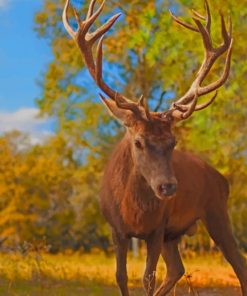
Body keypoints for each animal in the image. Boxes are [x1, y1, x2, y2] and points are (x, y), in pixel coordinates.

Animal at [62, 0, 247, 294]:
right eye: (138, 141)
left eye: (173, 142)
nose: (168, 187)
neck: (134, 213)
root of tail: (222, 178)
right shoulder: (116, 229)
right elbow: (121, 276)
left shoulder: (157, 228)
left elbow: (147, 278)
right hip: (177, 233)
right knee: (177, 268)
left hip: (217, 211)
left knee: (238, 264)